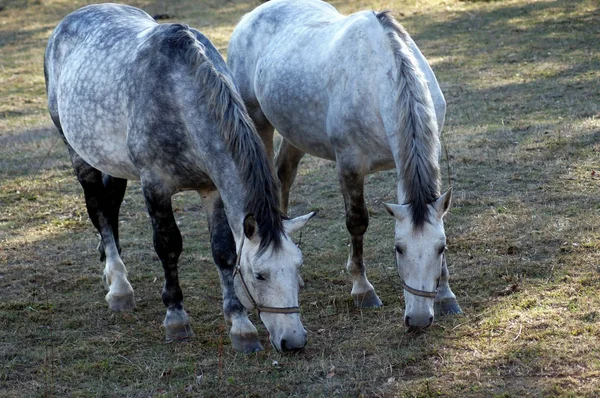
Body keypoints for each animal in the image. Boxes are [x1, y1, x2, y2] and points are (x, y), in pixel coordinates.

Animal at [44, 3, 314, 352]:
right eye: (259, 275)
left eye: (298, 266)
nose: (293, 341)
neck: (179, 96)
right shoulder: (155, 186)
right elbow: (168, 245)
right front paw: (176, 317)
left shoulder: (212, 189)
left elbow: (224, 251)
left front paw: (240, 324)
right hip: (78, 155)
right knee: (99, 209)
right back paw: (119, 286)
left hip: (112, 162)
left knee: (111, 203)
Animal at [227, 0, 462, 330]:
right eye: (398, 248)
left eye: (440, 248)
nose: (417, 319)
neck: (379, 75)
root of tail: (251, 16)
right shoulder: (350, 166)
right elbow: (357, 222)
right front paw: (363, 290)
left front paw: (445, 296)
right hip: (259, 122)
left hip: (296, 133)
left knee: (284, 174)